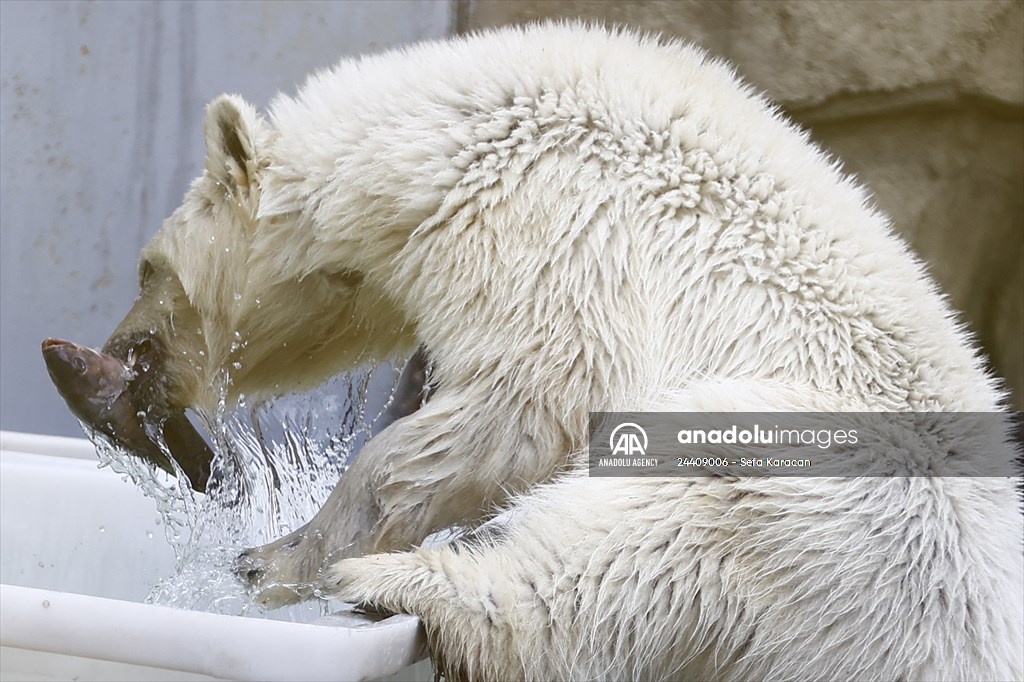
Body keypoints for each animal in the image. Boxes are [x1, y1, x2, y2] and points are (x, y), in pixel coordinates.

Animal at [59, 23, 1022, 681]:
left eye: (148, 269)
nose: (111, 355)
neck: (444, 139)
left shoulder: (551, 222)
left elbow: (524, 406)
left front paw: (281, 556)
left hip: (843, 508)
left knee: (643, 539)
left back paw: (410, 581)